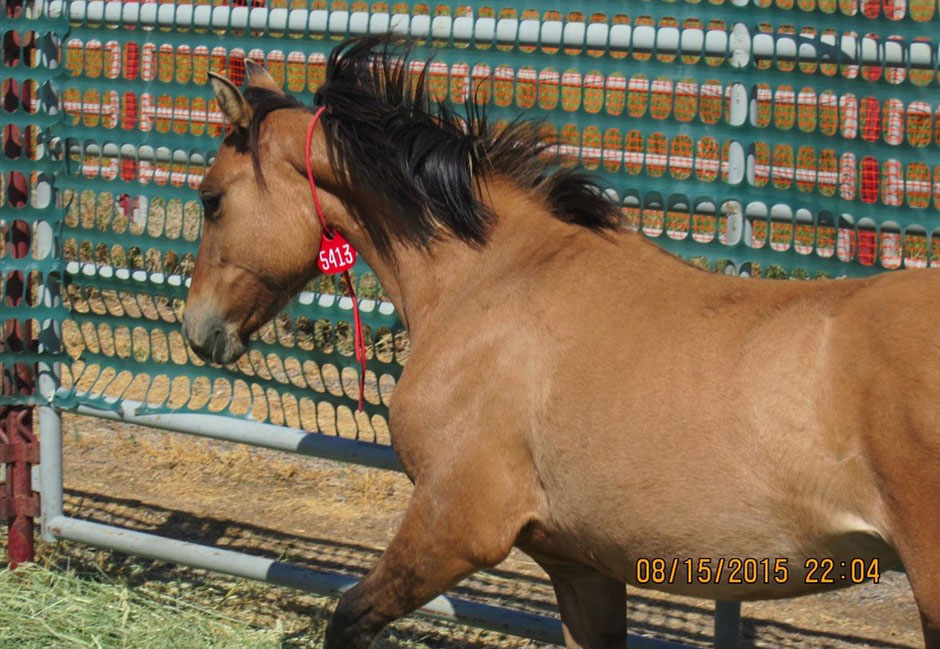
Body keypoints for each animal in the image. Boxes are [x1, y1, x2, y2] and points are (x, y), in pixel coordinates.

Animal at [182, 36, 940, 648]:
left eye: (211, 198)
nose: (198, 330)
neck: (490, 278)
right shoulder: (581, 565)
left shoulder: (454, 526)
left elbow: (347, 620)